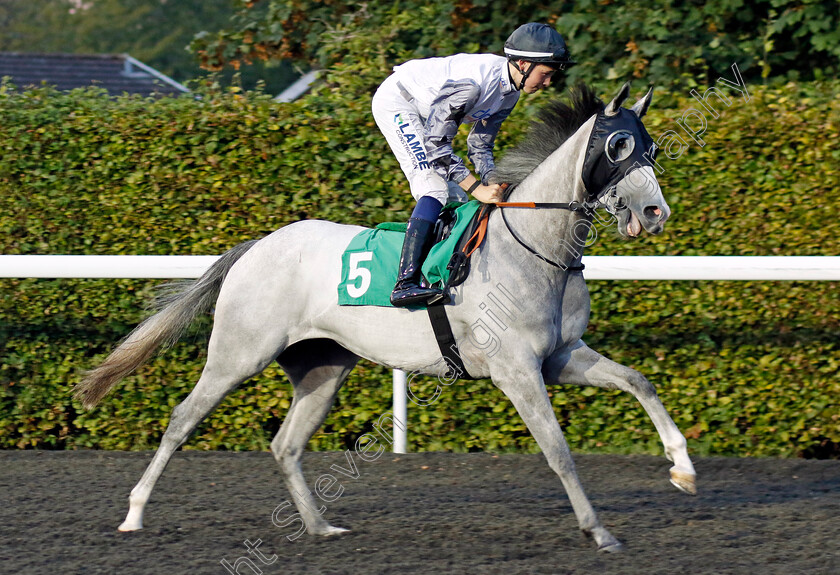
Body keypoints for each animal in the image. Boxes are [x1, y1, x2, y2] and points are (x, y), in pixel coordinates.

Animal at [77, 82, 696, 552]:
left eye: (651, 149)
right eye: (618, 145)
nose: (654, 212)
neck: (535, 246)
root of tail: (256, 246)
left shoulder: (560, 357)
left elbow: (639, 381)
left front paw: (682, 468)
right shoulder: (517, 370)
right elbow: (559, 452)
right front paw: (599, 531)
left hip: (324, 368)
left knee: (286, 445)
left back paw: (320, 525)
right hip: (238, 353)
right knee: (182, 420)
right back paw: (134, 513)